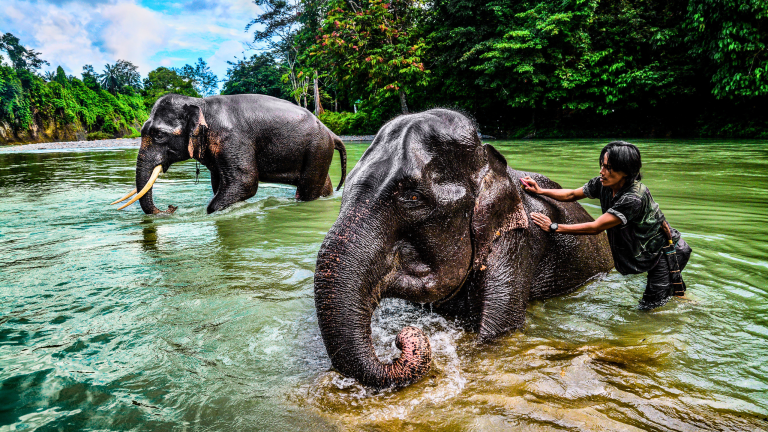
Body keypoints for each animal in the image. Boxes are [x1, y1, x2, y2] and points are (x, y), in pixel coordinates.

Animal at [111, 93, 346, 214]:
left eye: (159, 134)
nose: (171, 207)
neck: (200, 102)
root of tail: (331, 133)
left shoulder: (232, 139)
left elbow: (245, 182)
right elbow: (219, 183)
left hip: (317, 149)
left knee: (308, 189)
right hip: (319, 152)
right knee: (322, 185)